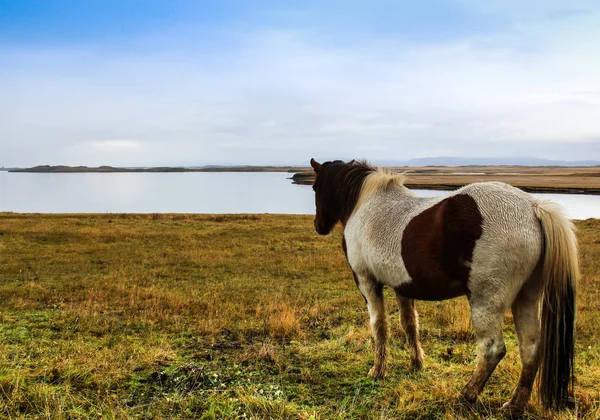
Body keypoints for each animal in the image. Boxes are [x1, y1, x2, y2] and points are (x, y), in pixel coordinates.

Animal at [310, 159, 576, 416]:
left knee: (492, 350)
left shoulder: (367, 282)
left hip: (486, 302)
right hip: (526, 298)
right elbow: (409, 324)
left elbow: (379, 326)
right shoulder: (402, 286)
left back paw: (466, 395)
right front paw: (417, 363)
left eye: (314, 188)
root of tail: (533, 207)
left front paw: (378, 370)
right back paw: (514, 405)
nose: (318, 226)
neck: (365, 205)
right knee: (530, 347)